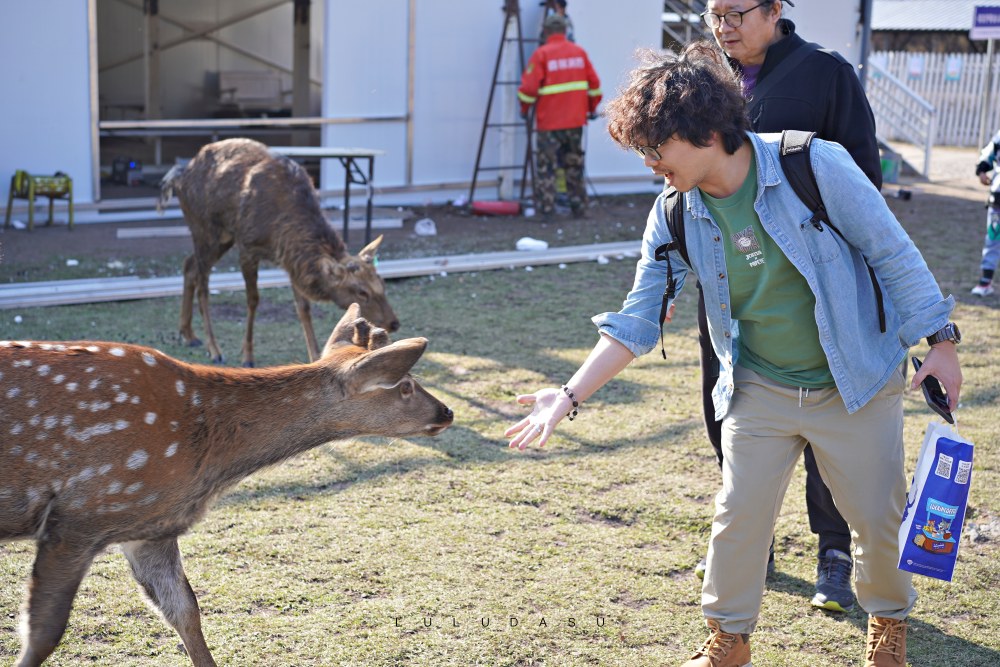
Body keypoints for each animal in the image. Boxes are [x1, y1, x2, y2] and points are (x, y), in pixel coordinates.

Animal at [0, 306, 454, 664]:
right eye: (405, 384)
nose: (447, 412)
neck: (206, 460)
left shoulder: (144, 525)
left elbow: (185, 610)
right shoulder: (82, 513)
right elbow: (43, 632)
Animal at [160, 135, 398, 366]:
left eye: (382, 284)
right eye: (361, 292)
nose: (394, 322)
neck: (280, 233)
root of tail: (179, 175)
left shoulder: (291, 261)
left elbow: (303, 307)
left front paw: (314, 355)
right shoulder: (248, 246)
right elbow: (253, 300)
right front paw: (247, 355)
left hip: (221, 238)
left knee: (189, 264)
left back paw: (189, 335)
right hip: (205, 229)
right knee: (203, 283)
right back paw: (214, 349)